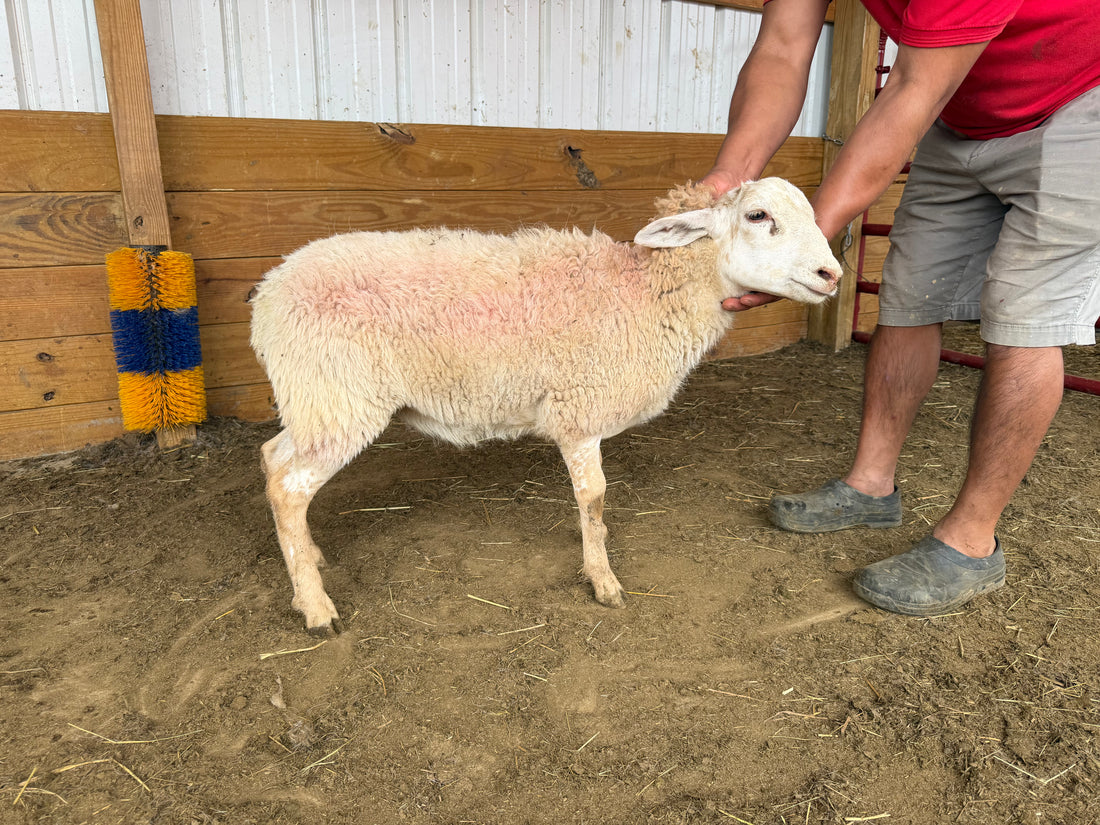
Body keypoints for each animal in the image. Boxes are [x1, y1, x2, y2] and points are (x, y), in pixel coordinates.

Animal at [250, 178, 841, 633]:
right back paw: (316, 608)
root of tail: (268, 294)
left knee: (273, 458)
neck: (645, 294)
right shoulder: (580, 412)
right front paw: (602, 579)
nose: (831, 275)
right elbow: (594, 499)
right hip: (338, 399)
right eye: (757, 215)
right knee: (288, 488)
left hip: (315, 401)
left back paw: (309, 558)